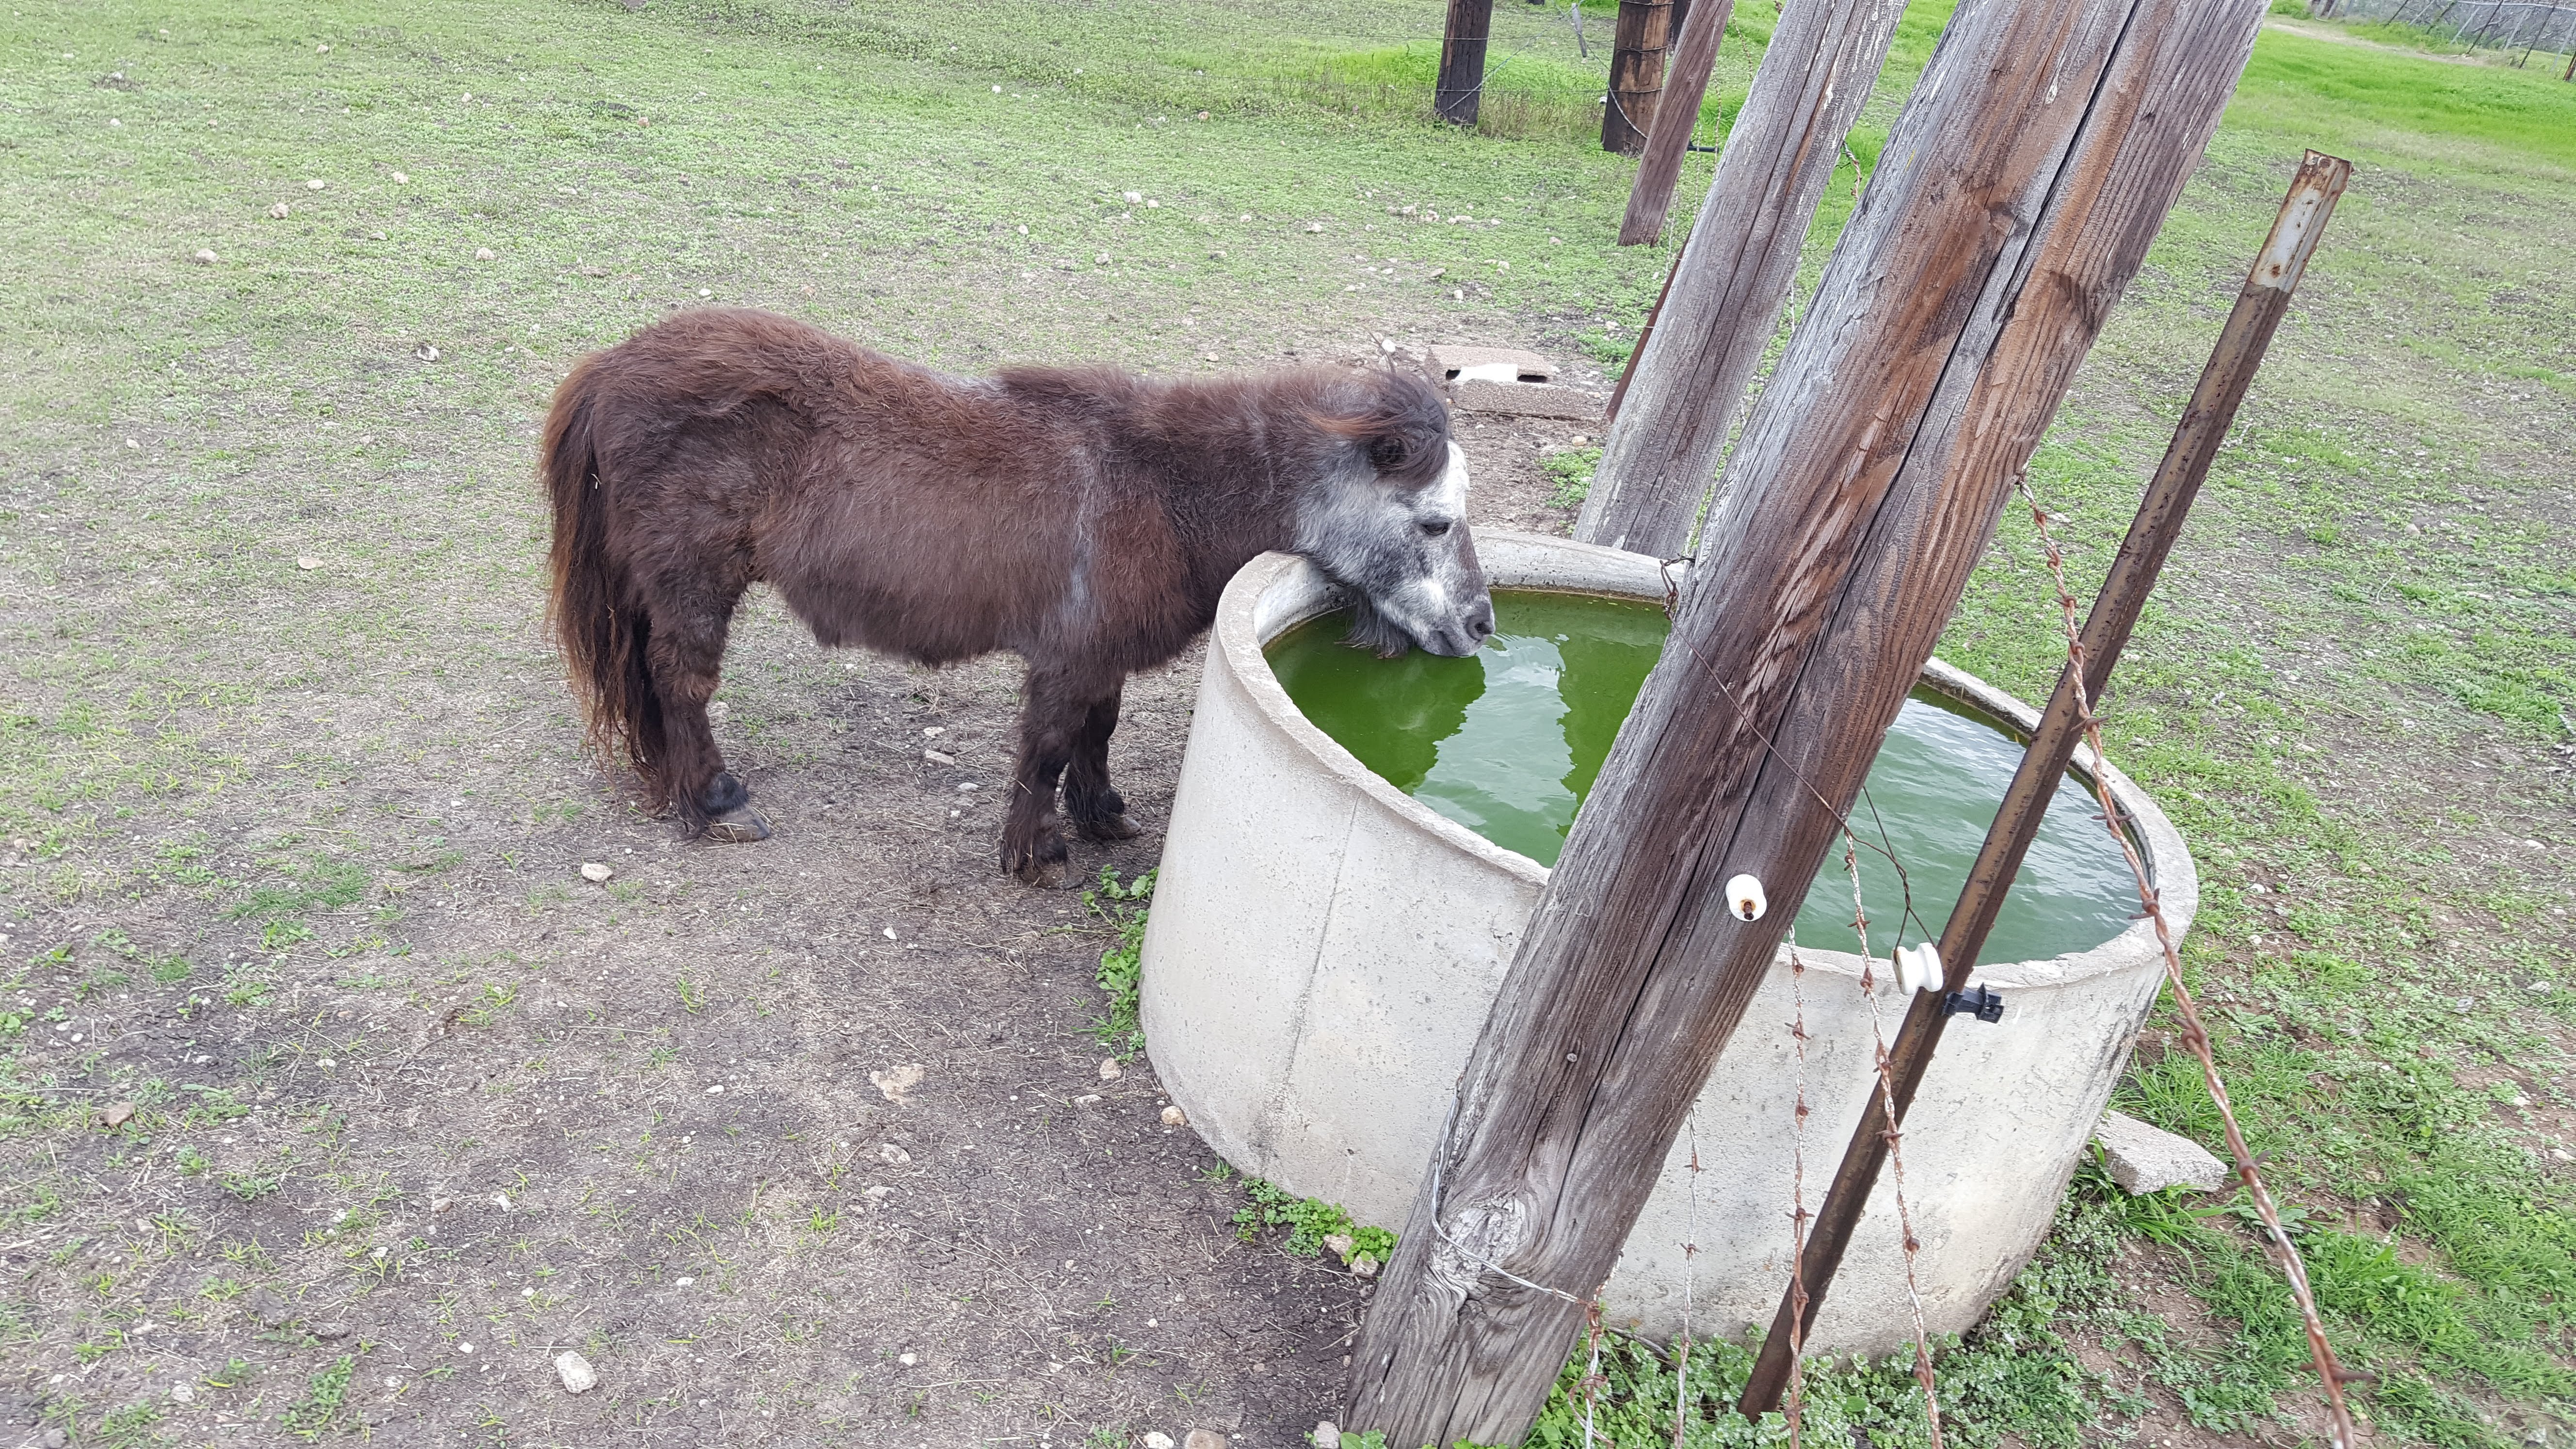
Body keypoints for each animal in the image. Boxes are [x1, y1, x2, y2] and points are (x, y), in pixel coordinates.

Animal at [541, 308, 1495, 885]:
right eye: (1437, 522)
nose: (1481, 625)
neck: (1162, 488)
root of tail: (615, 364)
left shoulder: (1100, 655)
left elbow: (1096, 735)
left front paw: (1102, 816)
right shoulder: (1067, 658)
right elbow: (1045, 748)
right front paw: (1035, 855)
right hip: (693, 580)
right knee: (682, 685)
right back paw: (718, 803)